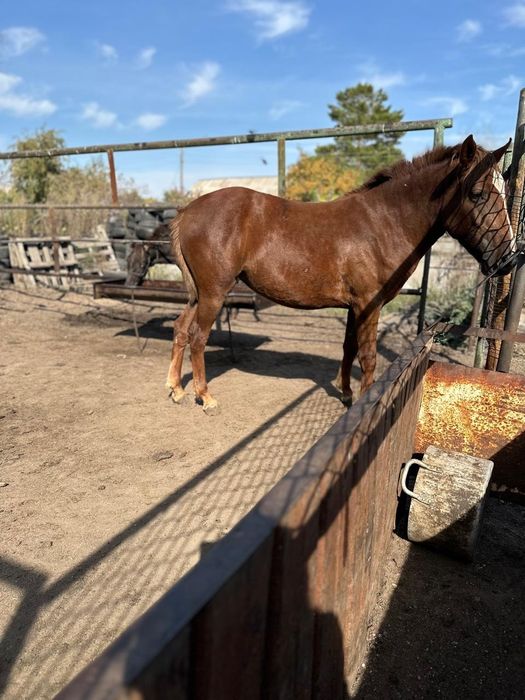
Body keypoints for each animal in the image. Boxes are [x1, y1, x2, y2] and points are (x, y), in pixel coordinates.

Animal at [166, 135, 517, 412]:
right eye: (477, 194)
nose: (509, 260)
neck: (384, 221)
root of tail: (188, 211)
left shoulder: (354, 307)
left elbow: (349, 348)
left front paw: (347, 394)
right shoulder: (369, 305)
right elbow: (369, 356)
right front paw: (364, 403)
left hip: (199, 294)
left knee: (181, 329)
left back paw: (176, 389)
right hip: (214, 293)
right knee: (197, 336)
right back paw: (205, 396)